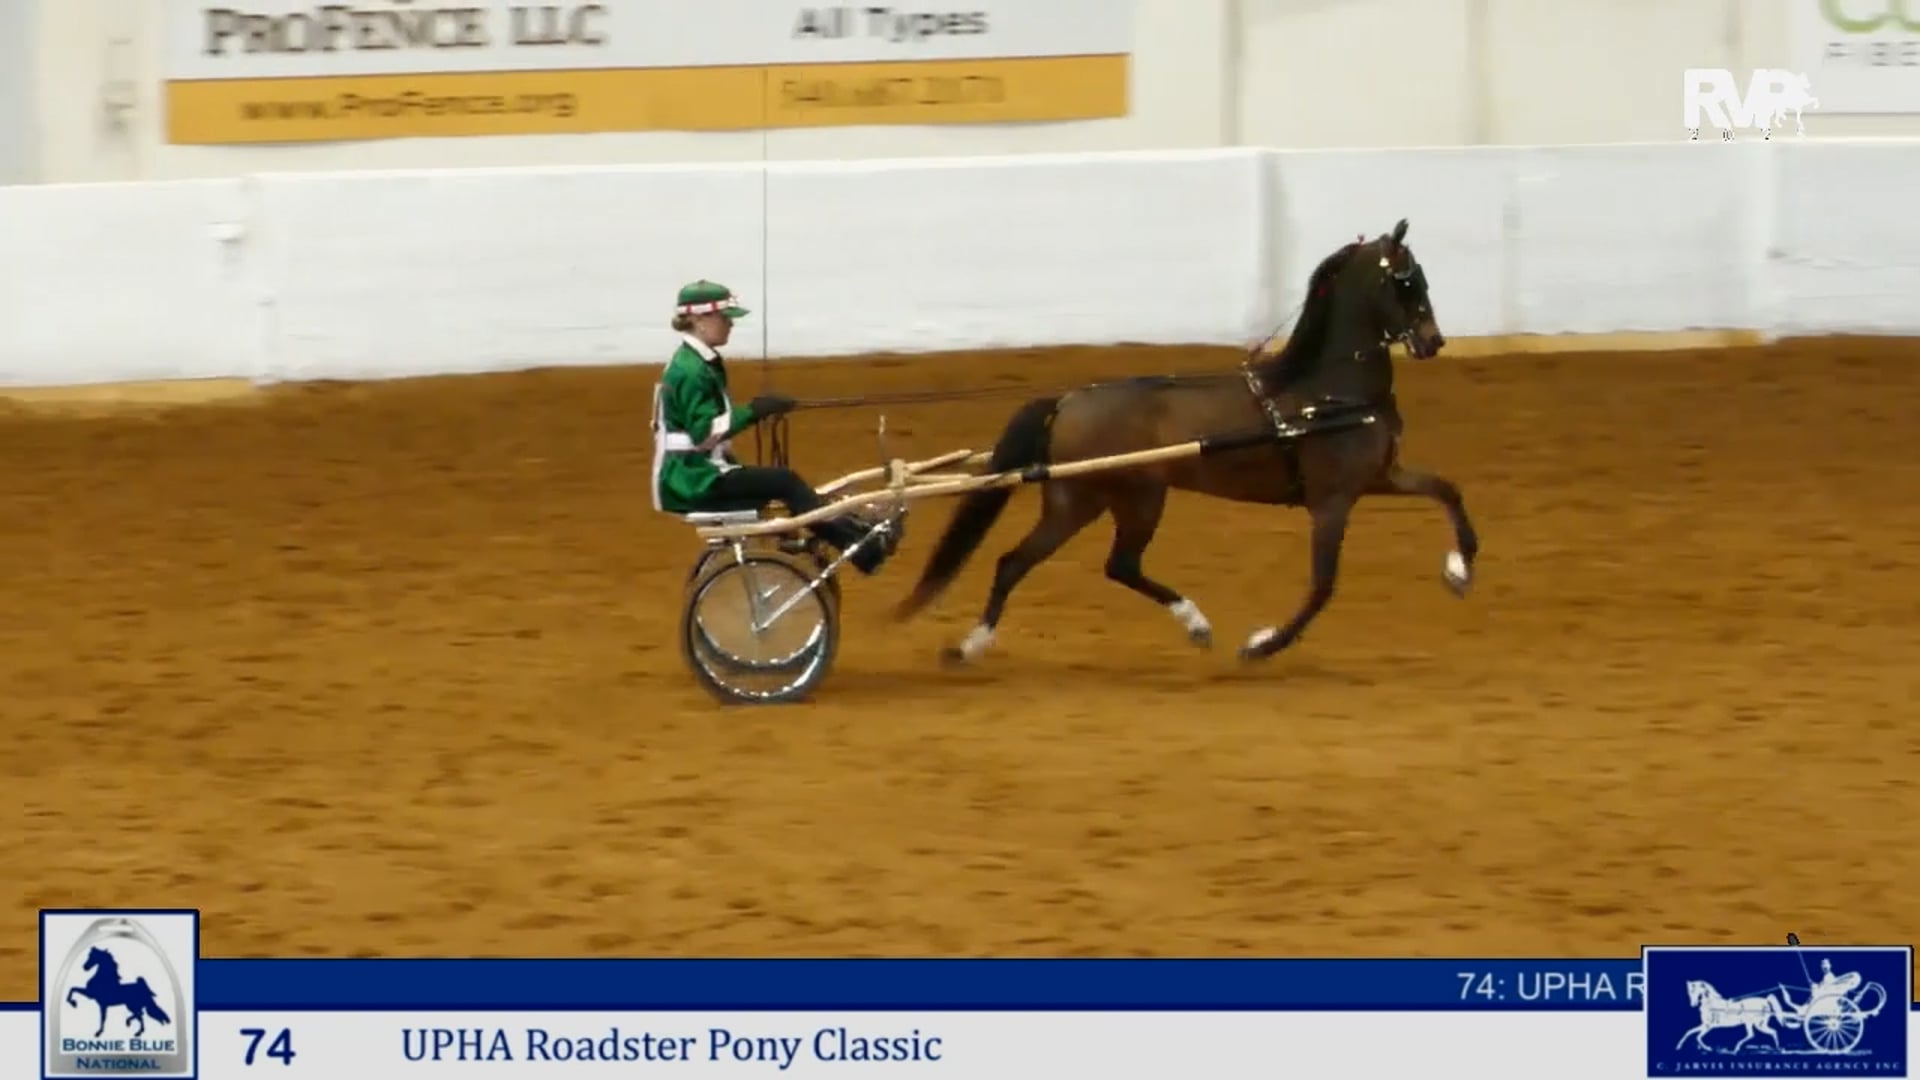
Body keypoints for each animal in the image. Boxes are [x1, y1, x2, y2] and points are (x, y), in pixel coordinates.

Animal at [893, 218, 1480, 667]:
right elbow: (1322, 586)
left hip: (1078, 500)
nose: (1433, 341)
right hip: (1134, 498)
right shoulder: (1331, 502)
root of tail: (1068, 401)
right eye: (1407, 281)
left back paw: (971, 645)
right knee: (1111, 565)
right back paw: (1193, 623)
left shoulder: (1378, 477)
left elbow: (1446, 490)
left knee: (1021, 562)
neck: (1325, 391)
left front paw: (1459, 570)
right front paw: (1262, 644)